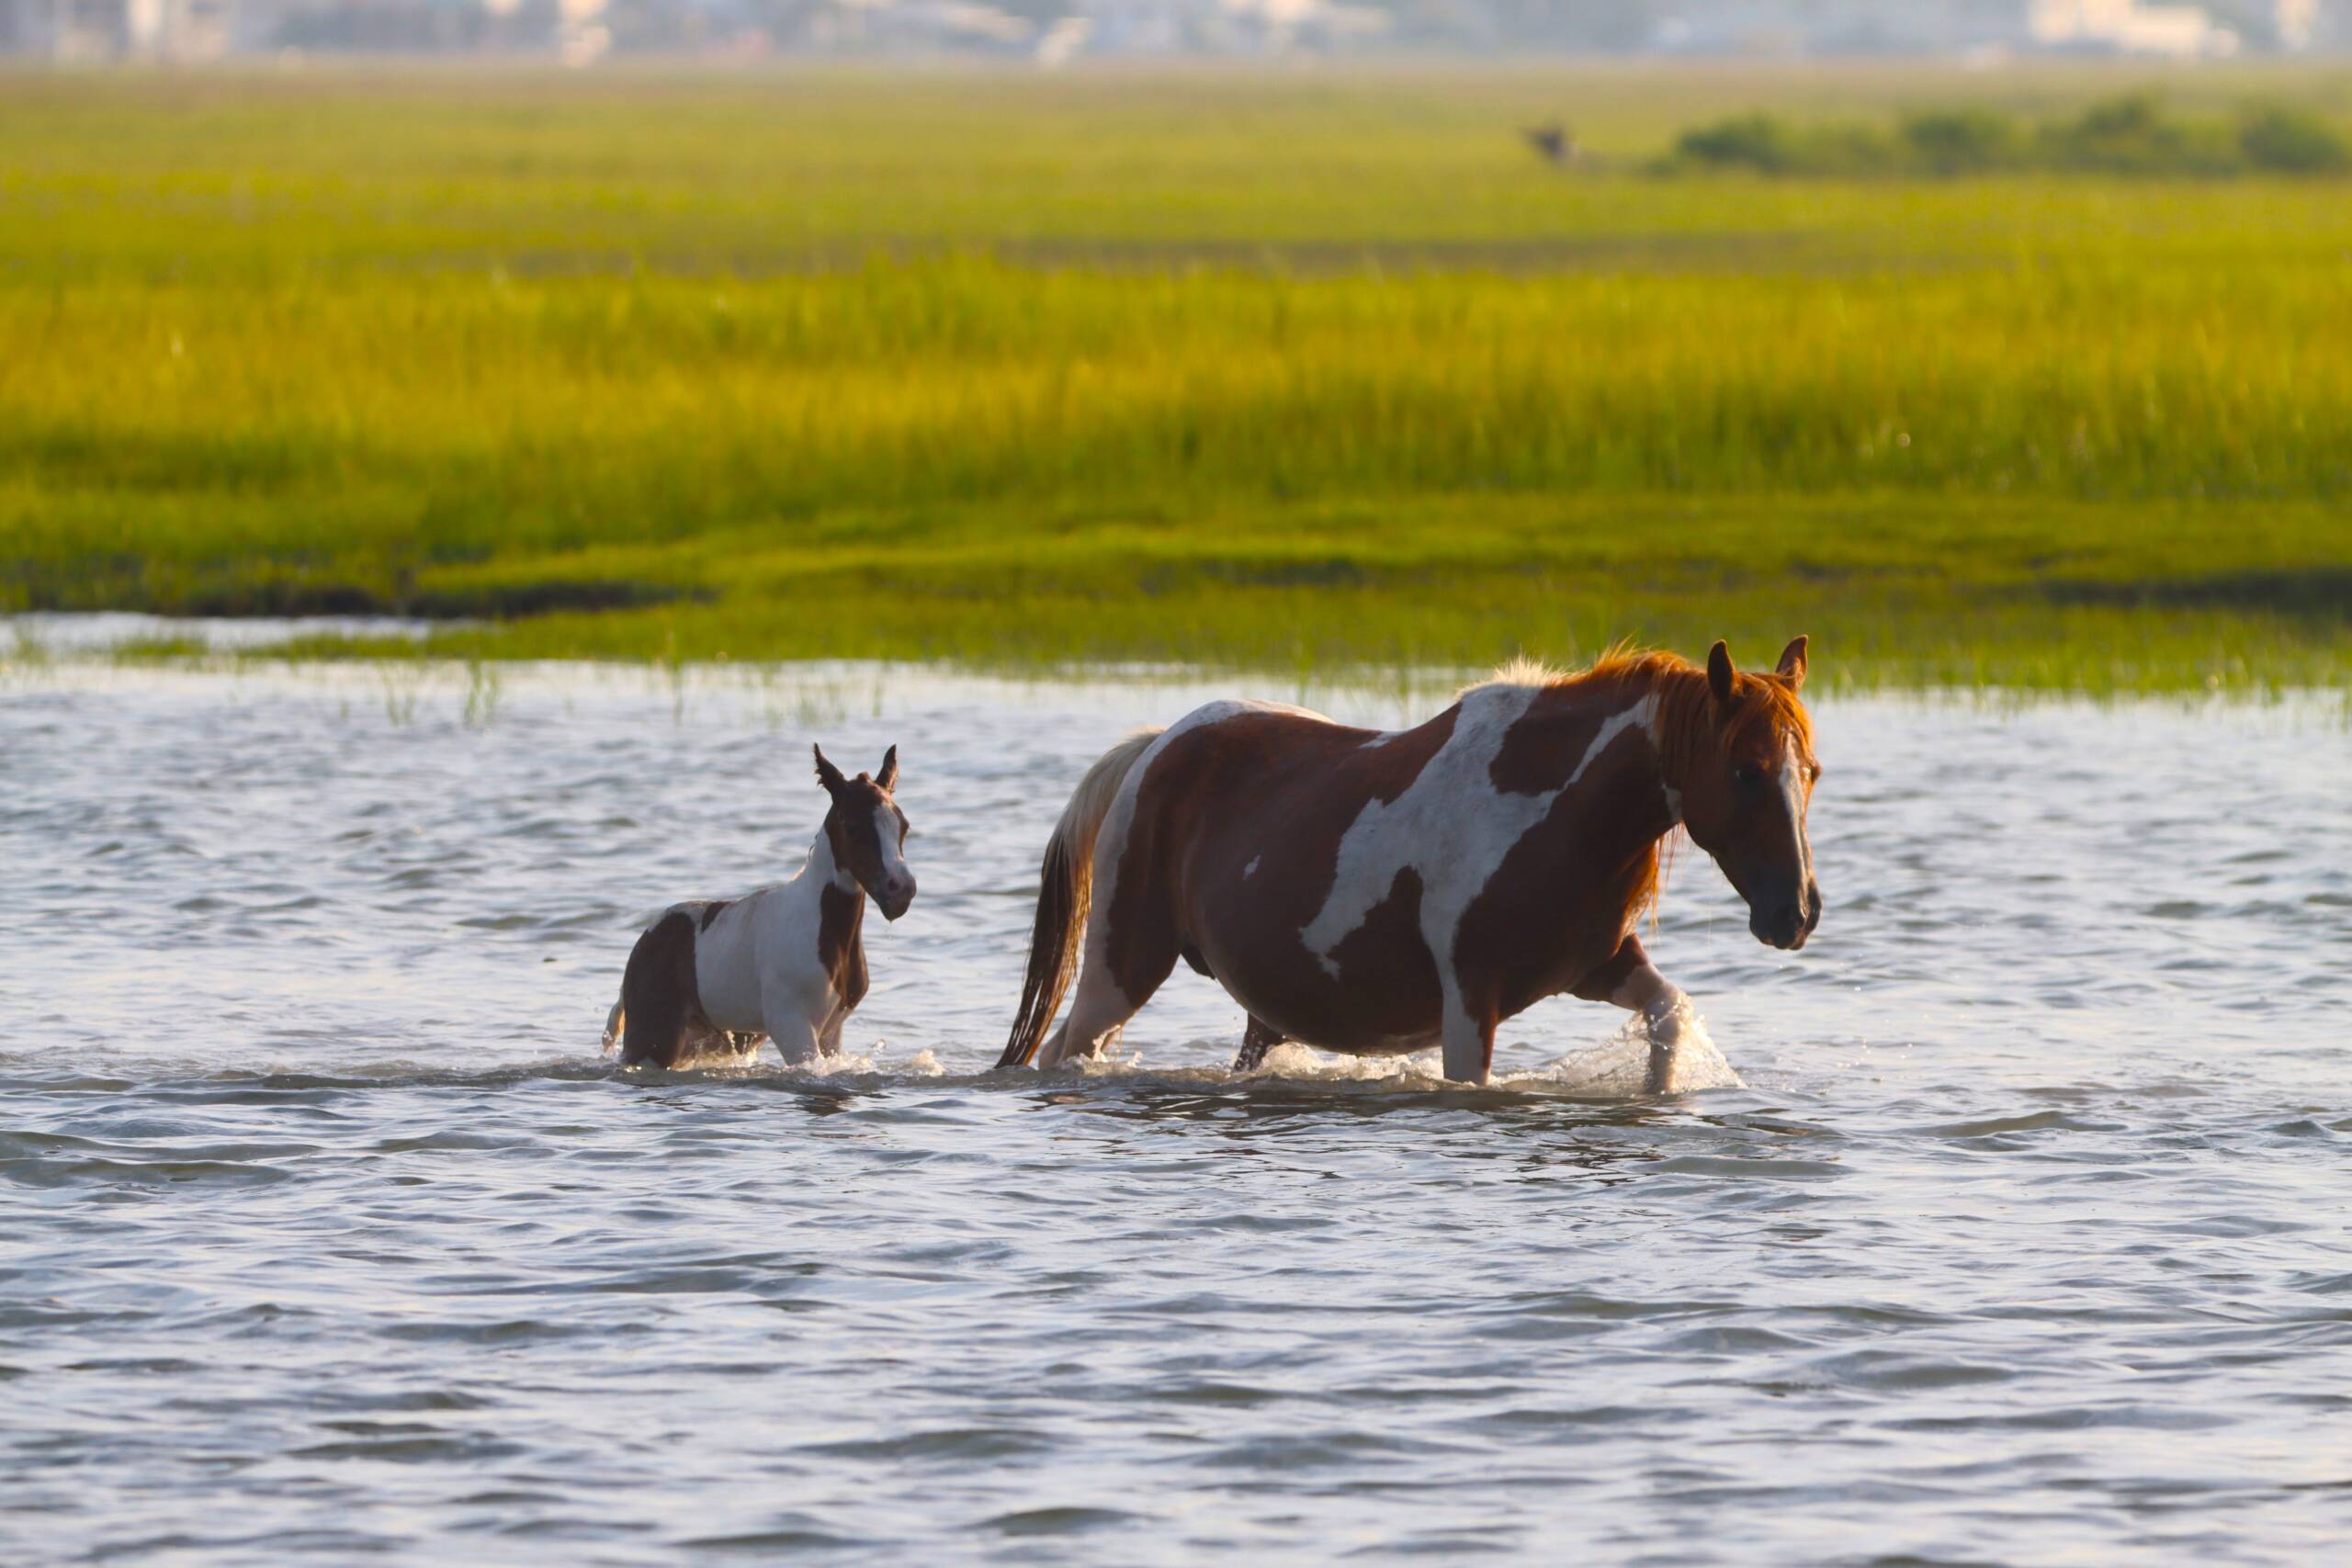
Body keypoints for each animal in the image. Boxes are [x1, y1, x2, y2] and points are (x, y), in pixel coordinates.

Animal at [603, 745, 915, 1069]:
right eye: (853, 828)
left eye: (904, 826)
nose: (901, 890)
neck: (822, 927)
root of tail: (645, 940)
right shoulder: (794, 1029)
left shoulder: (831, 1033)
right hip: (653, 1042)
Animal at [996, 639, 1820, 1091]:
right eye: (1747, 771)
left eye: (1809, 771)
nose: (1797, 913)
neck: (1558, 806)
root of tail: (1156, 746)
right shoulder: (1470, 1000)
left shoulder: (1598, 964)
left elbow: (1669, 1013)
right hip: (1121, 967)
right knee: (1067, 1051)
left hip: (1258, 1012)